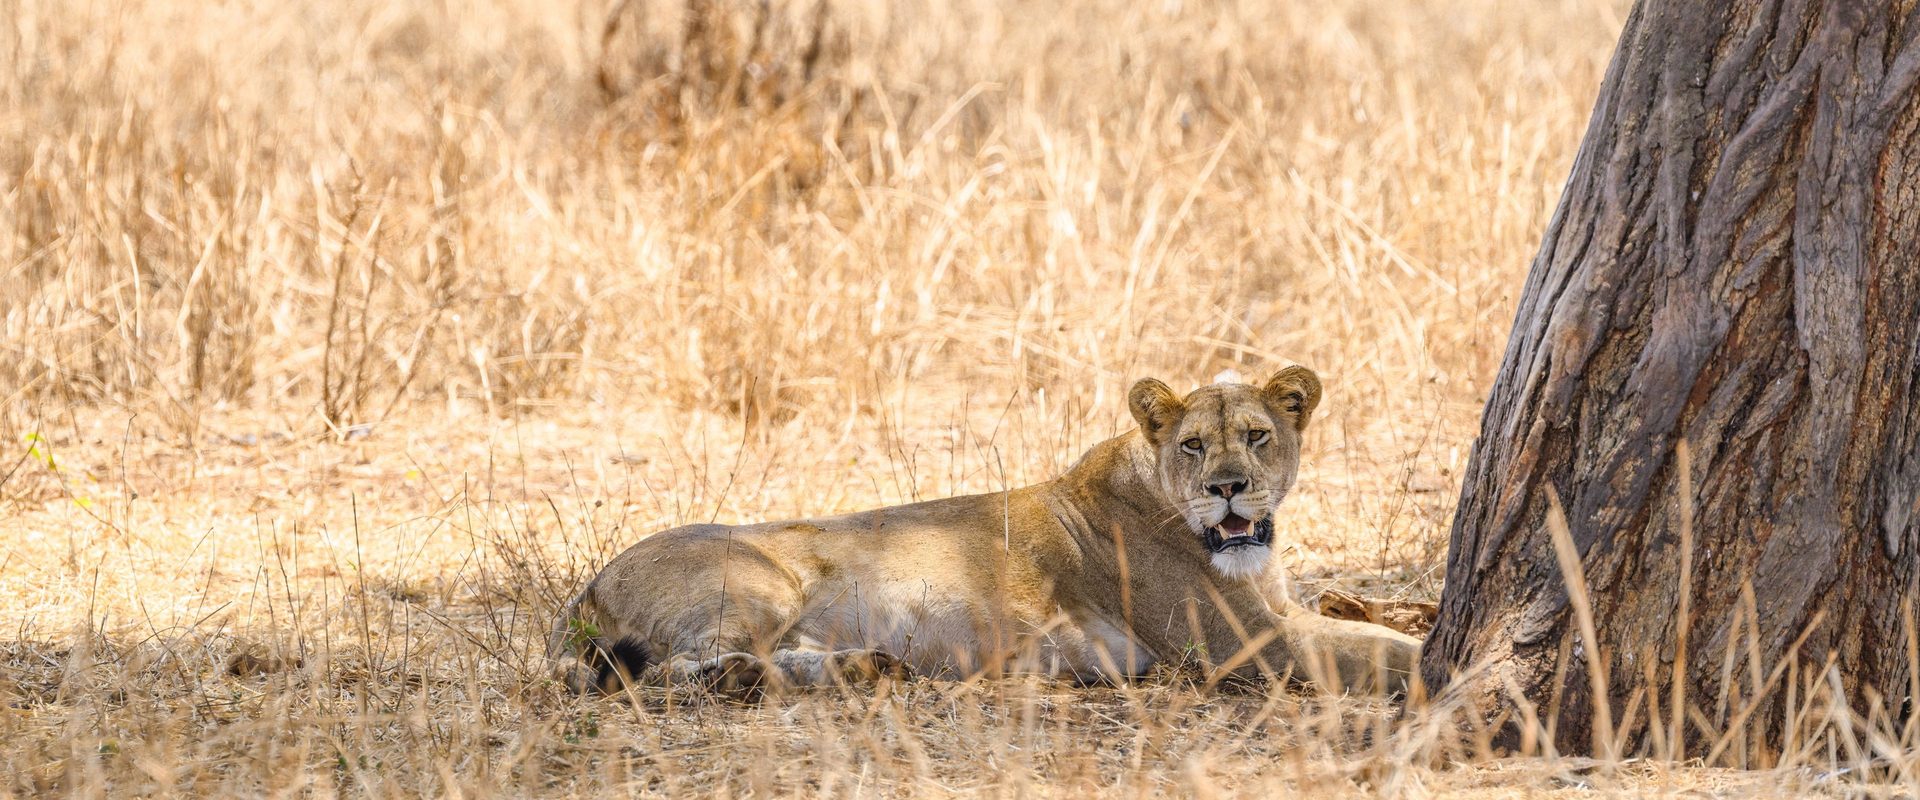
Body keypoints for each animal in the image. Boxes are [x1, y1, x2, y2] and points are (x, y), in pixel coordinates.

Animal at [548, 367, 1421, 697]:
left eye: (1257, 436)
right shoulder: (1247, 646)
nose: (1228, 489)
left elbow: (1370, 620)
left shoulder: (1276, 611)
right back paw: (749, 679)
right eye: (1193, 446)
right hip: (759, 581)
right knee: (668, 671)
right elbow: (1379, 652)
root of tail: (583, 591)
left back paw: (865, 666)